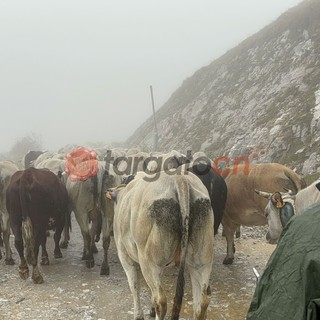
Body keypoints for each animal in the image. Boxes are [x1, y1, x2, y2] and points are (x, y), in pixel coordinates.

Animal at [106, 171, 214, 320]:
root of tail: (179, 178)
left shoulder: (124, 255)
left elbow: (134, 285)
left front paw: (138, 315)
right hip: (201, 262)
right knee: (202, 303)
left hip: (149, 262)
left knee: (161, 301)